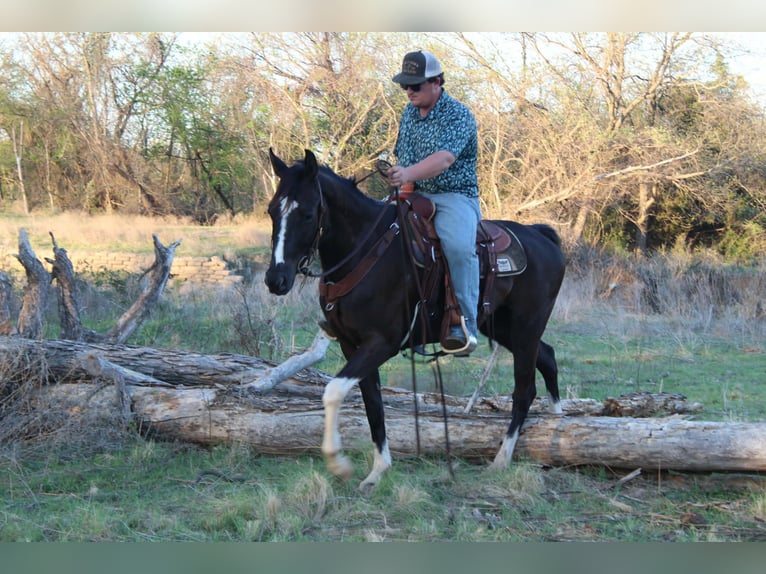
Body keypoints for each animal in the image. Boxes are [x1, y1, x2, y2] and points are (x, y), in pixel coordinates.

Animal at [265, 148, 566, 491]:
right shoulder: (350, 344)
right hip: (506, 329)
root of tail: (543, 237)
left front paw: (338, 463)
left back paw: (502, 459)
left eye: (307, 214)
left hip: (526, 328)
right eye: (272, 211)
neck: (365, 250)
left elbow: (334, 391)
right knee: (548, 359)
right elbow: (373, 404)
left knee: (524, 389)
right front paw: (377, 471)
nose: (276, 279)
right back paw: (560, 427)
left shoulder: (382, 343)